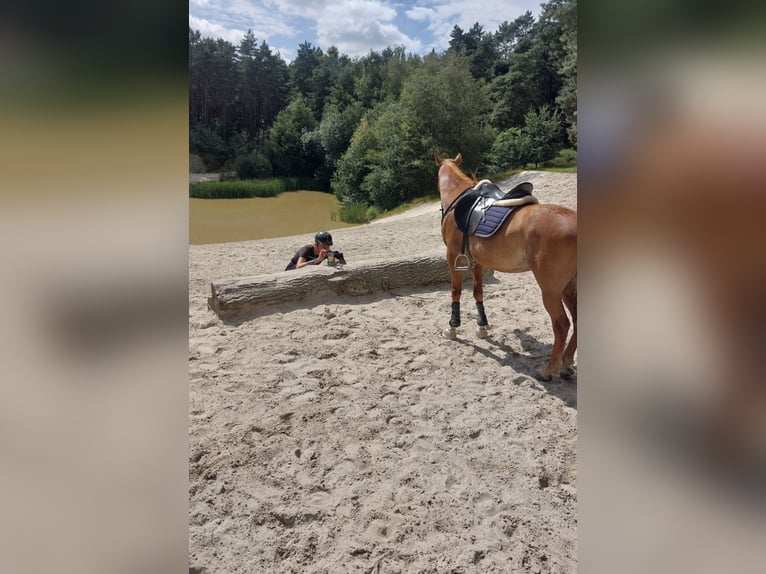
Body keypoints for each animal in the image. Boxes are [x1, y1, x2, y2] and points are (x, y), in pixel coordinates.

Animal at [436, 153, 580, 382]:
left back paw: (548, 370)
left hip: (551, 289)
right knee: (576, 320)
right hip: (569, 286)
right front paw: (482, 327)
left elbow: (455, 291)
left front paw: (453, 327)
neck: (458, 198)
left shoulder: (453, 257)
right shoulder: (477, 261)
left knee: (561, 324)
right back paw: (566, 365)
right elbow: (478, 292)